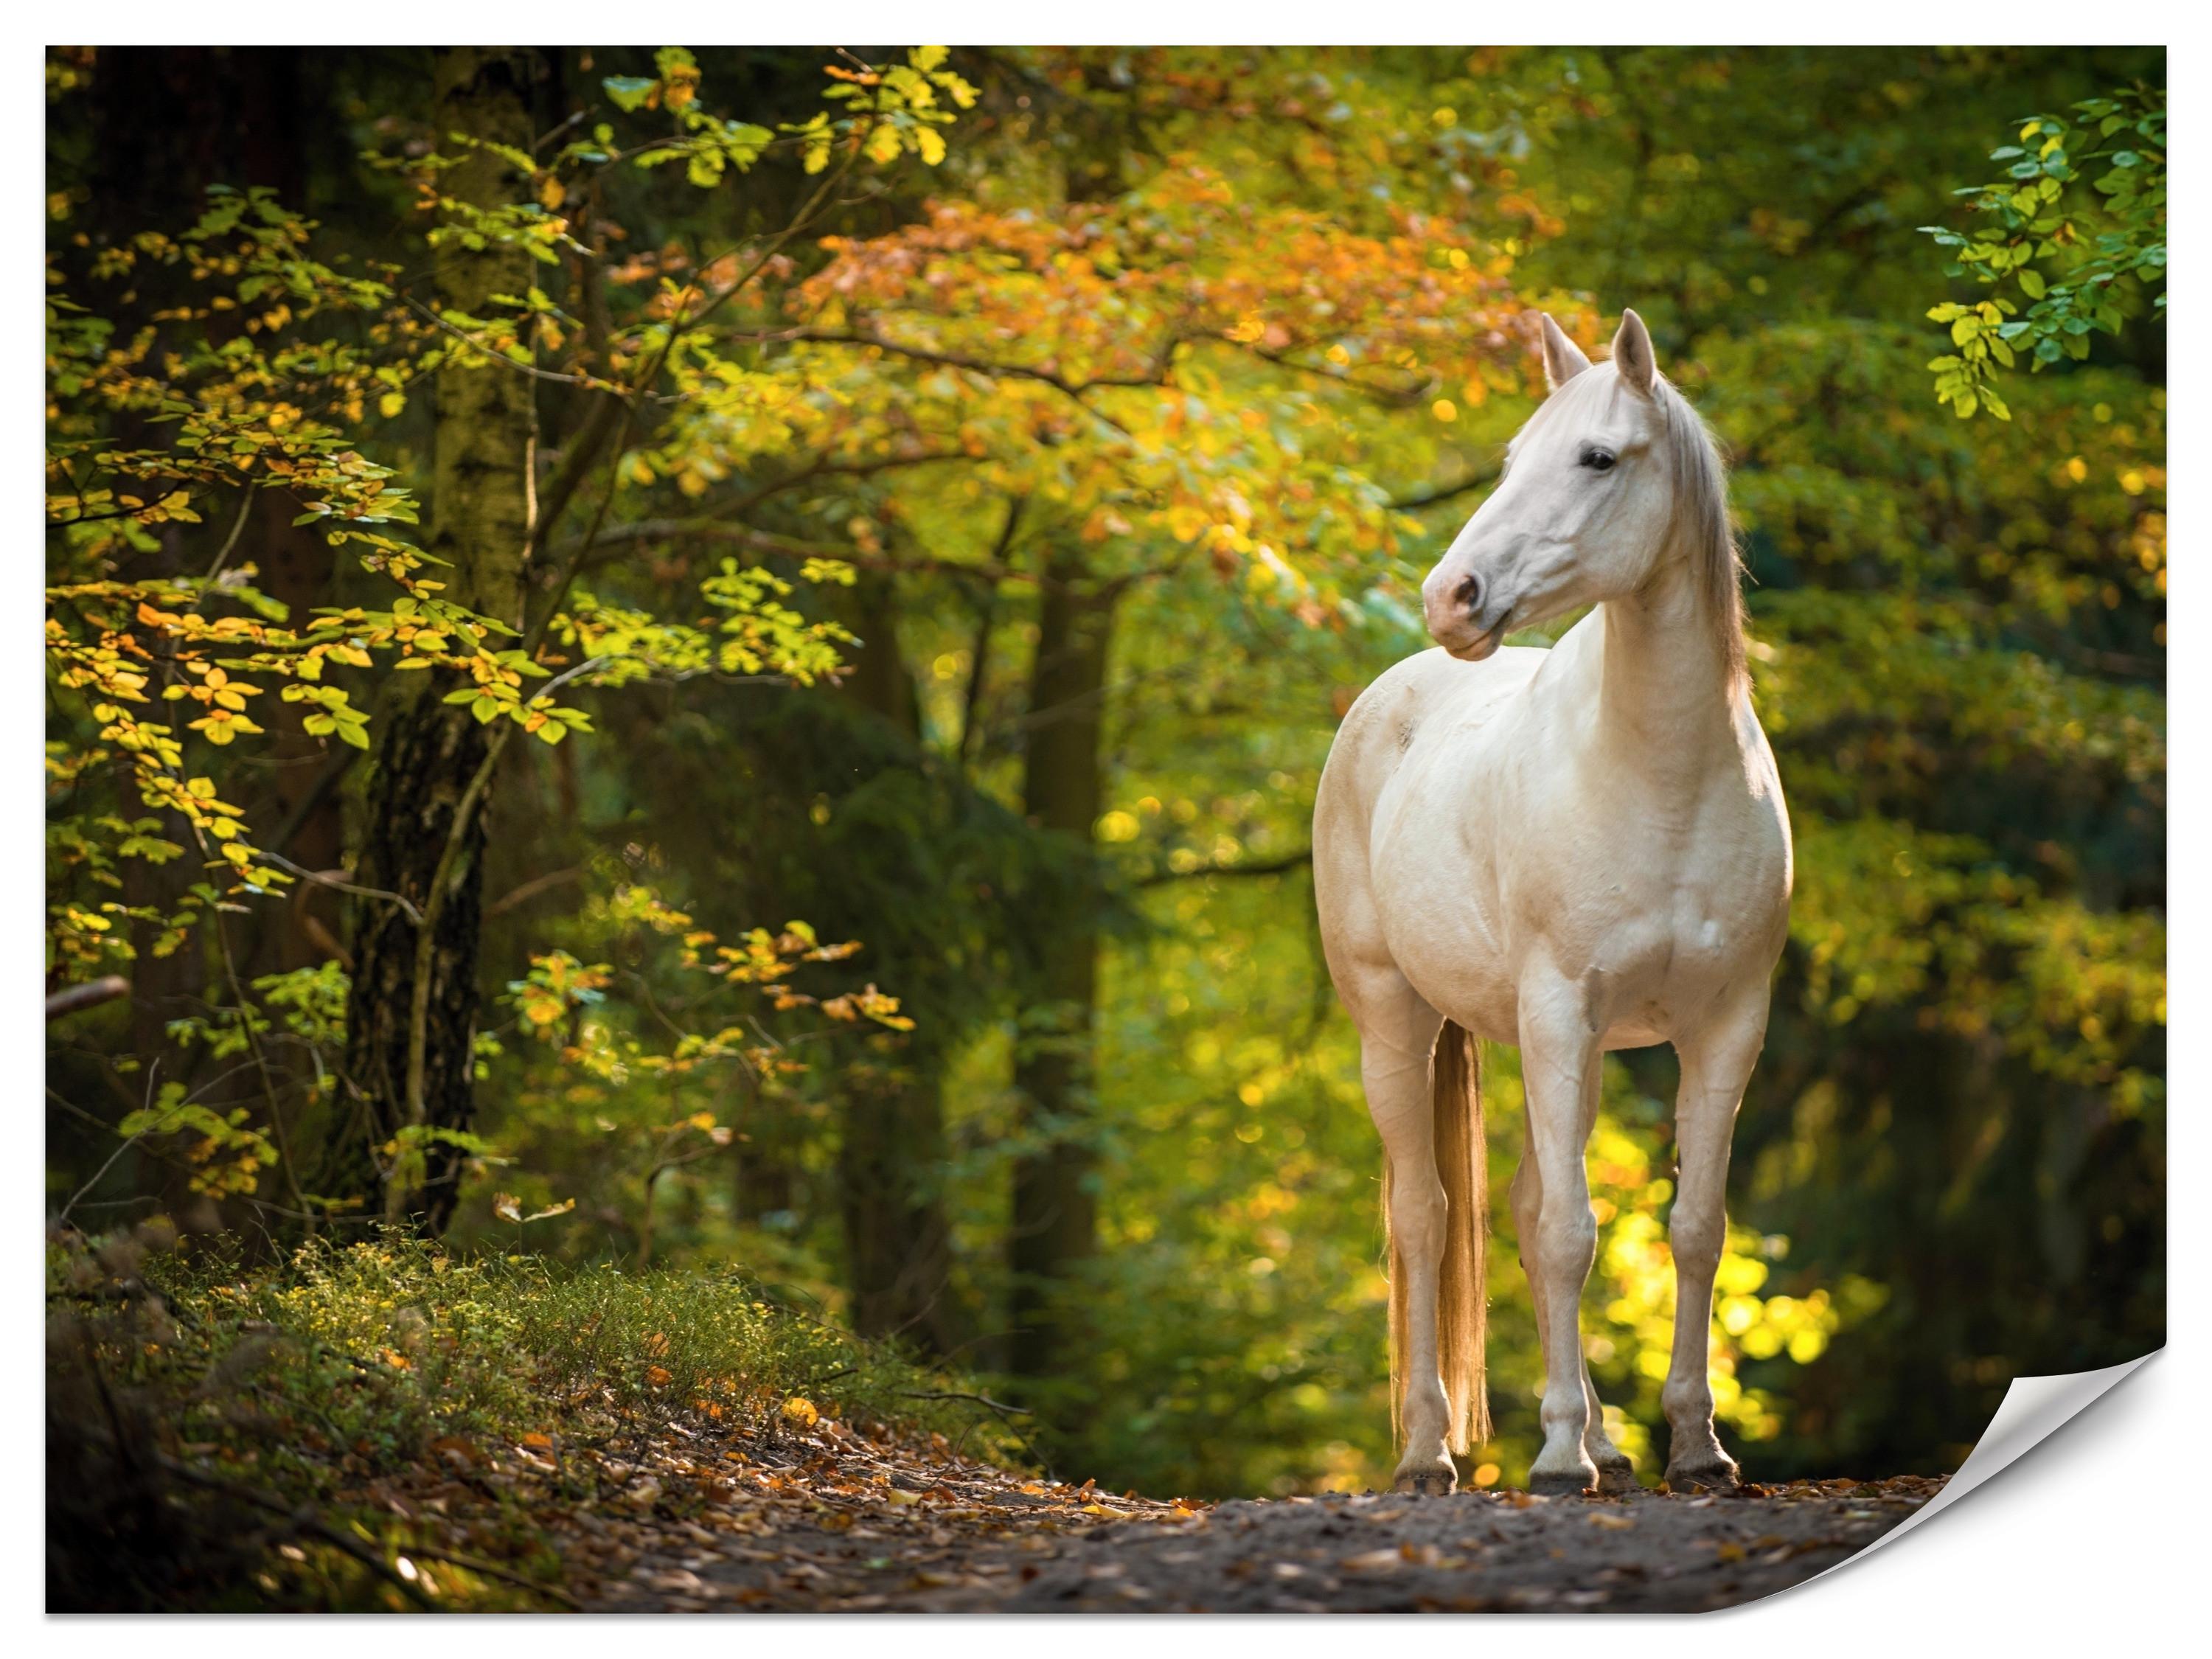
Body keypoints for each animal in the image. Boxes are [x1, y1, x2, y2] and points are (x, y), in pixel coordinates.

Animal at [1312, 308, 1791, 1497]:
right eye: (1510, 459)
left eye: (1598, 458)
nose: (1453, 596)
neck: (1663, 779)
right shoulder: (1561, 1009)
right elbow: (1574, 1233)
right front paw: (1559, 1456)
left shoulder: (1728, 1024)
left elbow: (1693, 1226)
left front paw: (1695, 1444)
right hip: (1397, 1022)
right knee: (1426, 1216)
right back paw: (1432, 1451)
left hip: (1550, 1043)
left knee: (1527, 1208)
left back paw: (1606, 1443)